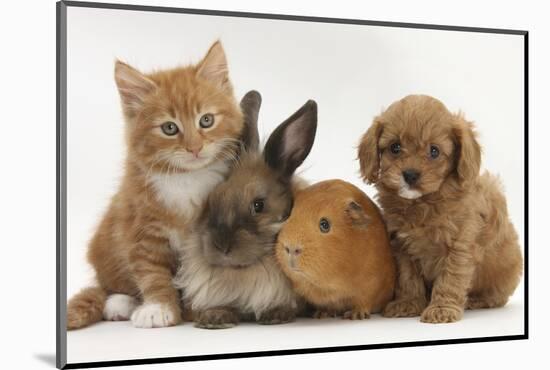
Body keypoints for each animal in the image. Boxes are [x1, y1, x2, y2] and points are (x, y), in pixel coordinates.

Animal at [67, 41, 244, 330]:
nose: (194, 148)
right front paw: (158, 308)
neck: (187, 178)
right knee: (108, 286)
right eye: (169, 128)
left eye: (206, 120)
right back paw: (120, 303)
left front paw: (204, 307)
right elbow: (152, 272)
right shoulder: (141, 227)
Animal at [360, 95, 524, 324]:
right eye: (395, 147)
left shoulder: (459, 246)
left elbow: (450, 278)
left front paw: (442, 309)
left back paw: (476, 300)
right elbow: (408, 278)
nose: (410, 174)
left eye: (434, 151)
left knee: (496, 297)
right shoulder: (402, 248)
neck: (422, 204)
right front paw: (408, 303)